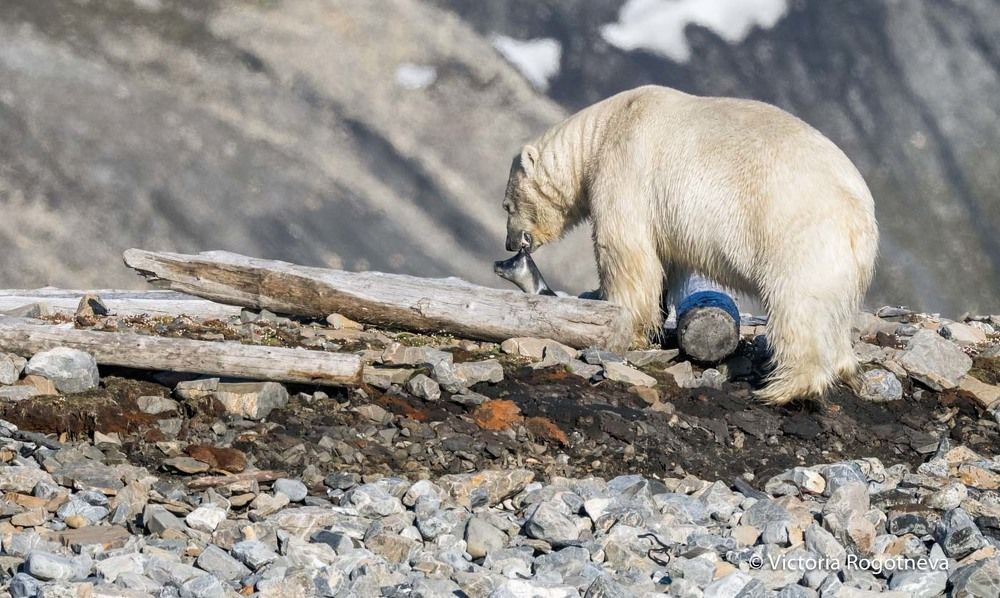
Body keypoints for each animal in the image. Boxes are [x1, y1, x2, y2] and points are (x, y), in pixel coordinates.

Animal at [502, 85, 878, 404]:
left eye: (506, 205)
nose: (509, 243)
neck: (602, 130)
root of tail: (859, 214)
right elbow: (666, 262)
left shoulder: (624, 168)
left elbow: (625, 251)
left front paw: (621, 322)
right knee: (835, 313)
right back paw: (843, 366)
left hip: (797, 235)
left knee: (798, 307)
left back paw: (783, 388)